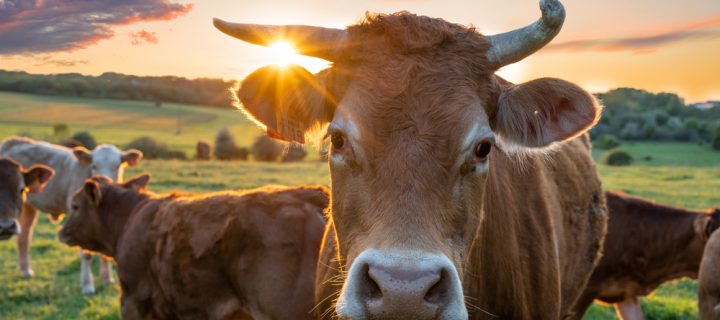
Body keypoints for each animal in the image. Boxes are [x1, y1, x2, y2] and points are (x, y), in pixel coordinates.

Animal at [0, 136, 142, 294]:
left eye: (117, 166)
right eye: (94, 166)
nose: (104, 182)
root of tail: (13, 140)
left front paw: (107, 279)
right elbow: (86, 254)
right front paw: (87, 285)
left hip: (28, 206)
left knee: (24, 237)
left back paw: (26, 271)